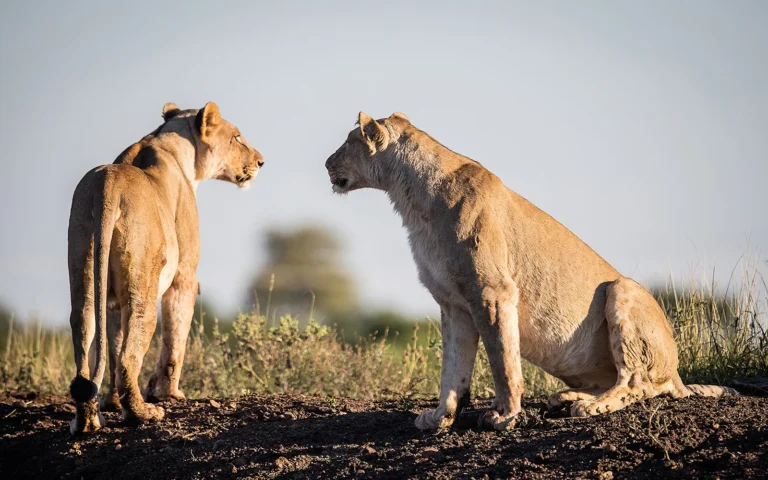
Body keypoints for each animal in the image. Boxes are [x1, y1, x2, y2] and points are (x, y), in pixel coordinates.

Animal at [68, 102, 264, 434]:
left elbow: (112, 344)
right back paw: (144, 413)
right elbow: (176, 336)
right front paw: (169, 394)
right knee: (129, 357)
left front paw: (111, 403)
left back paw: (87, 422)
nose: (261, 161)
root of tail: (108, 185)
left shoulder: (112, 301)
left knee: (86, 346)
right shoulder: (185, 274)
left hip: (84, 274)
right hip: (143, 288)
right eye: (236, 137)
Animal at [325, 112, 735, 431]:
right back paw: (565, 396)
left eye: (347, 142)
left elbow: (502, 361)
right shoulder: (454, 304)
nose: (327, 163)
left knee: (638, 382)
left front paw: (504, 416)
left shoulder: (492, 291)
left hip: (622, 289)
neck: (410, 200)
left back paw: (590, 405)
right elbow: (453, 367)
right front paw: (441, 418)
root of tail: (678, 372)